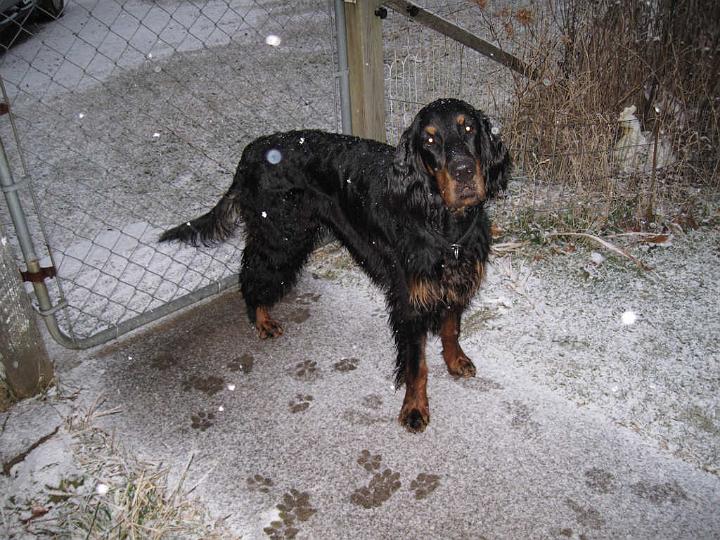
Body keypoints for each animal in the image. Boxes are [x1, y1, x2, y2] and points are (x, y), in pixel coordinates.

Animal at [163, 99, 512, 432]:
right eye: (429, 138)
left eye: (468, 128)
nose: (464, 172)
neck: (444, 224)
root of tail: (251, 151)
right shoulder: (410, 300)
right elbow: (417, 366)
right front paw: (414, 409)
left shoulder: (456, 276)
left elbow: (451, 327)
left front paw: (455, 362)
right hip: (280, 235)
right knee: (252, 272)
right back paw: (261, 319)